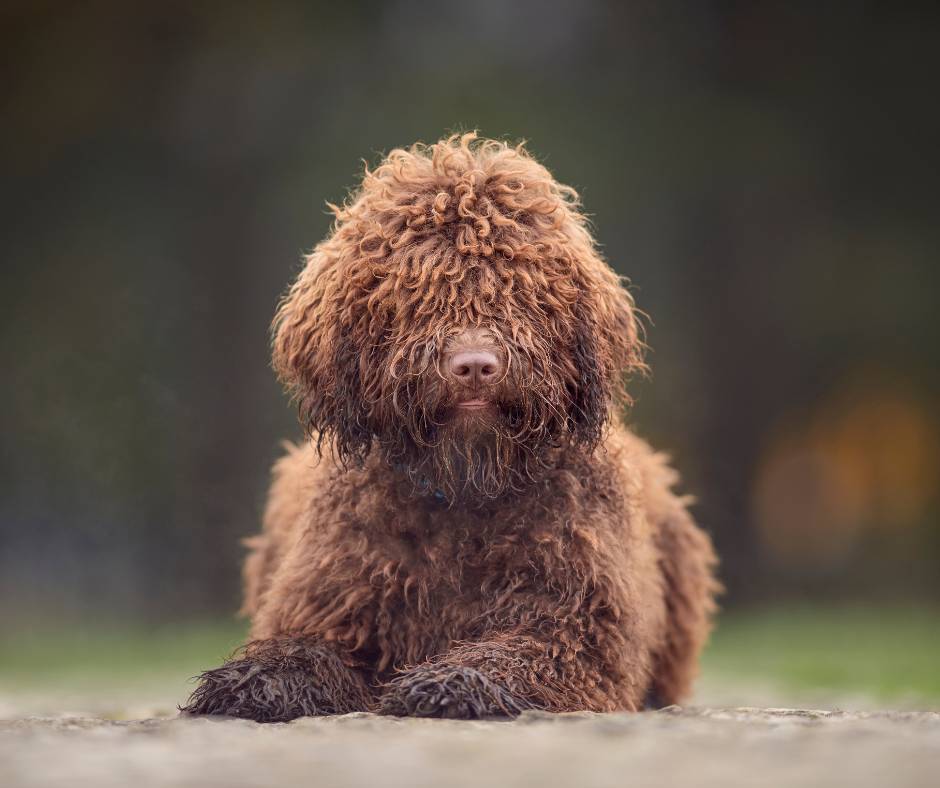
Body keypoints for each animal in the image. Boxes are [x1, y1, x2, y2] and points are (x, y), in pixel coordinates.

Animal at [180, 134, 716, 720]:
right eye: (416, 292)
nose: (476, 365)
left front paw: (453, 681)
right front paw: (256, 678)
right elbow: (301, 648)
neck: (465, 494)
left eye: (521, 289)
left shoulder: (581, 628)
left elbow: (520, 652)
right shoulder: (331, 603)